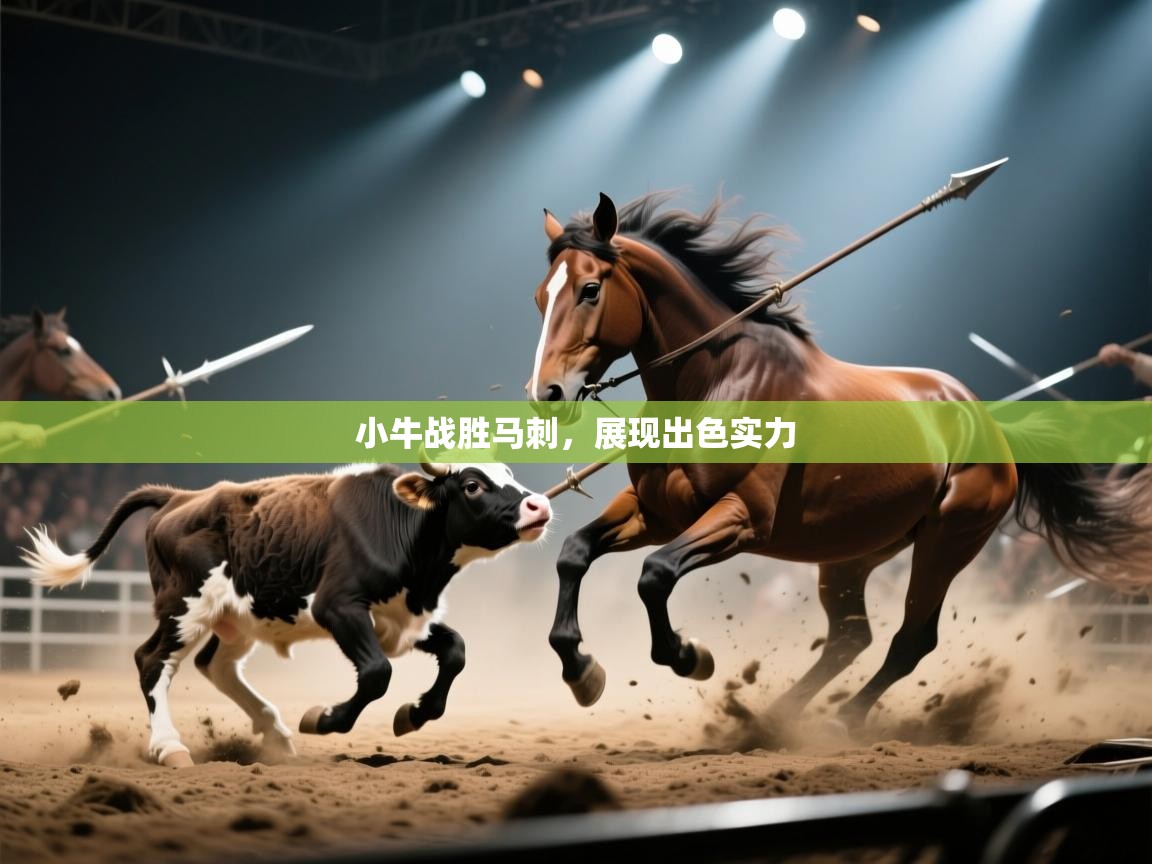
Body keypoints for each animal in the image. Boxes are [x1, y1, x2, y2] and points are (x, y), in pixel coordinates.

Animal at [526, 191, 1152, 732]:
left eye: (589, 289)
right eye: (540, 296)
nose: (547, 393)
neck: (719, 380)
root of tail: (989, 424)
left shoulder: (742, 518)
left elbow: (655, 574)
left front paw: (689, 655)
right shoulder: (655, 512)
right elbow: (574, 553)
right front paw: (581, 671)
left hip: (948, 541)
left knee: (910, 641)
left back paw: (842, 720)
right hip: (854, 552)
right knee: (852, 639)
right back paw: (772, 722)